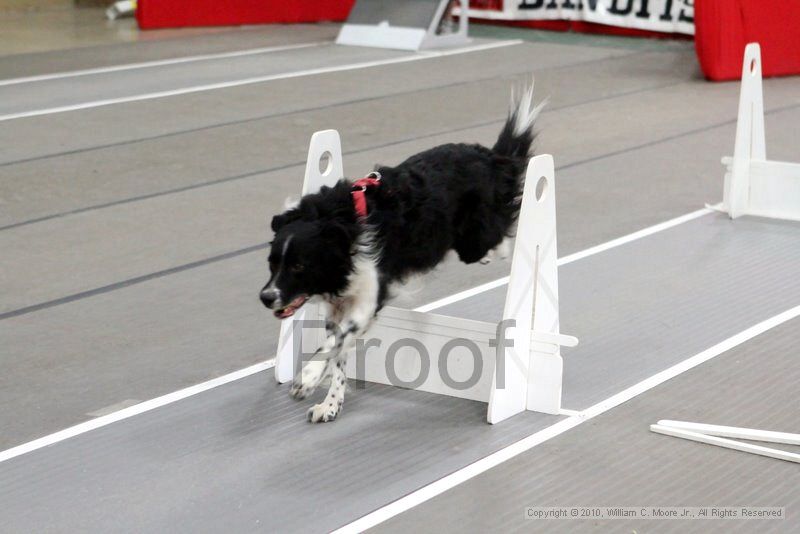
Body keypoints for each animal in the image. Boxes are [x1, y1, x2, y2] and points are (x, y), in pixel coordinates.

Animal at [260, 86, 540, 426]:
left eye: (299, 266)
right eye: (272, 263)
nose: (266, 297)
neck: (341, 229)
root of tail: (489, 156)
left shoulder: (369, 297)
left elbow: (336, 340)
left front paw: (308, 378)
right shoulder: (340, 305)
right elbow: (338, 353)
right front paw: (330, 403)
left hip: (473, 238)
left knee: (499, 231)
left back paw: (497, 251)